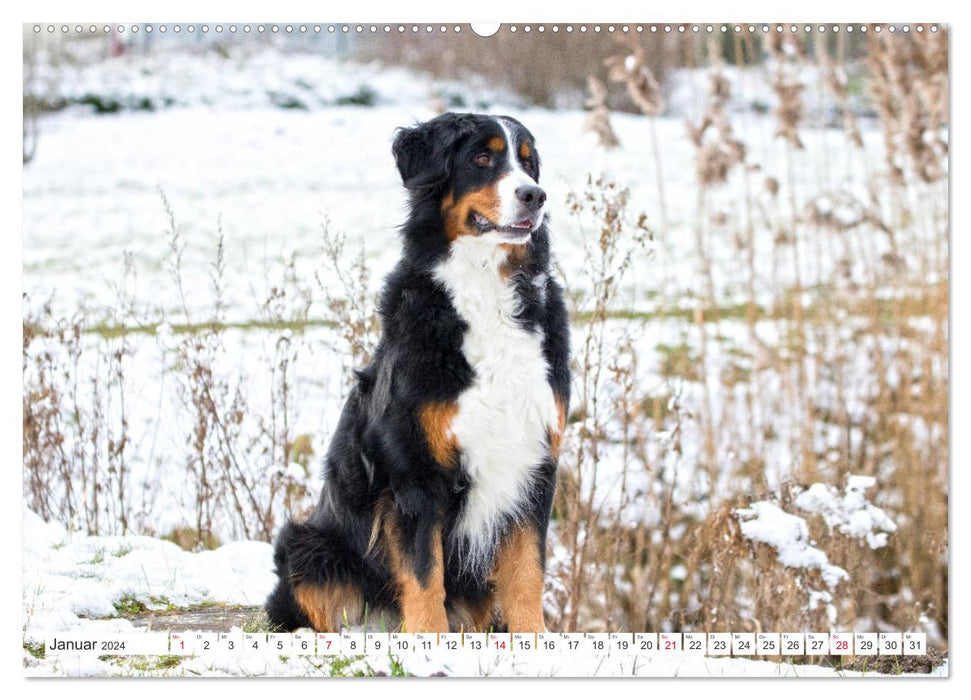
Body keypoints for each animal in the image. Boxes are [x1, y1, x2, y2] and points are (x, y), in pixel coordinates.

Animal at [266, 113, 568, 636]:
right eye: (482, 157)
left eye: (529, 164)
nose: (535, 195)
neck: (485, 291)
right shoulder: (414, 469)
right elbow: (426, 577)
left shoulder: (535, 462)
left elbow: (527, 572)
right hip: (307, 548)